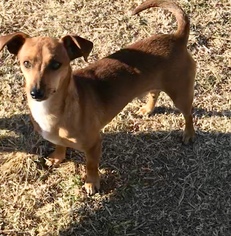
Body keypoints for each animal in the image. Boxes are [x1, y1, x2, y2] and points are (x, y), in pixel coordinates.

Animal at [0, 0, 196, 195]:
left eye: (56, 64)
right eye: (26, 63)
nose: (36, 92)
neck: (55, 109)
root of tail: (177, 38)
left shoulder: (94, 144)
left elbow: (91, 166)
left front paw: (91, 183)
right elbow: (59, 145)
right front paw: (58, 157)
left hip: (180, 93)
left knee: (188, 114)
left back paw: (188, 134)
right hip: (156, 83)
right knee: (155, 92)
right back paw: (148, 109)